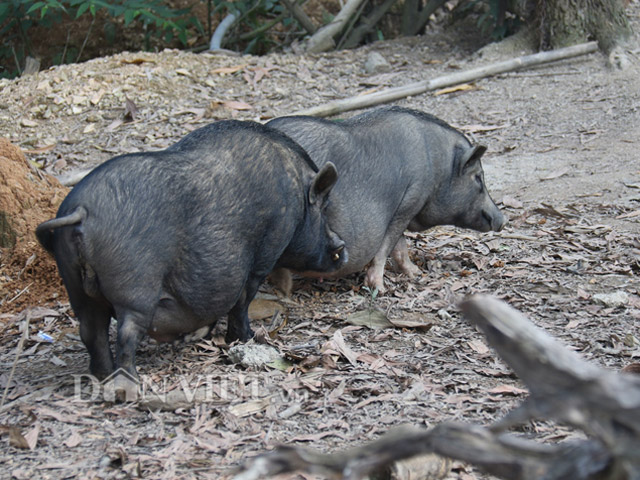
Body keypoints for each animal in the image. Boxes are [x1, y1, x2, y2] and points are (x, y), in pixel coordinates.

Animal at [37, 120, 348, 378]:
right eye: (324, 207)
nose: (341, 246)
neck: (297, 197)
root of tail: (81, 212)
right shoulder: (265, 252)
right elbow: (242, 300)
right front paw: (246, 338)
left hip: (74, 281)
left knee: (90, 330)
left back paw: (102, 376)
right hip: (135, 282)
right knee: (125, 332)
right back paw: (130, 383)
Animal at [266, 107, 504, 294]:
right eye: (478, 177)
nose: (503, 220)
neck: (438, 166)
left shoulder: (404, 207)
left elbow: (400, 245)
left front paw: (415, 273)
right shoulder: (411, 199)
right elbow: (388, 244)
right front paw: (380, 288)